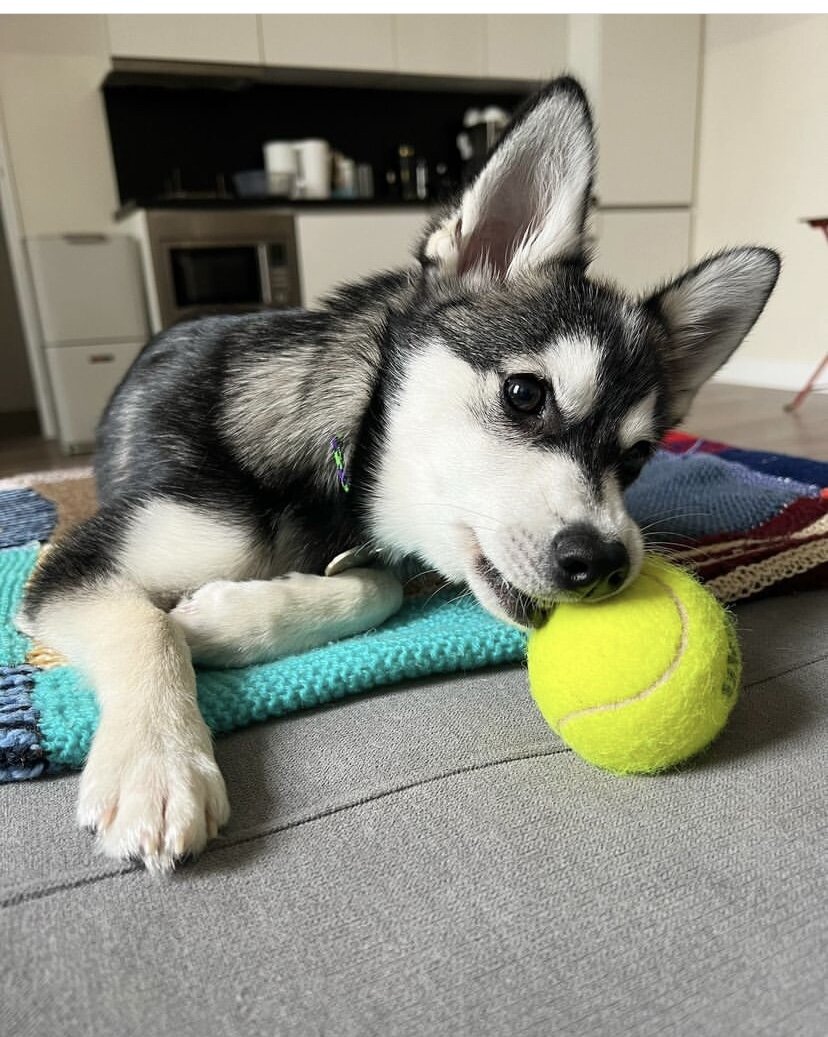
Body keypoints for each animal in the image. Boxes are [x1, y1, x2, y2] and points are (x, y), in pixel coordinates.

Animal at [21, 80, 784, 871]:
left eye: (634, 460)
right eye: (525, 394)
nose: (606, 561)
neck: (335, 464)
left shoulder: (371, 557)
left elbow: (376, 587)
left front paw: (226, 618)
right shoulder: (73, 563)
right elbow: (146, 627)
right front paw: (157, 766)